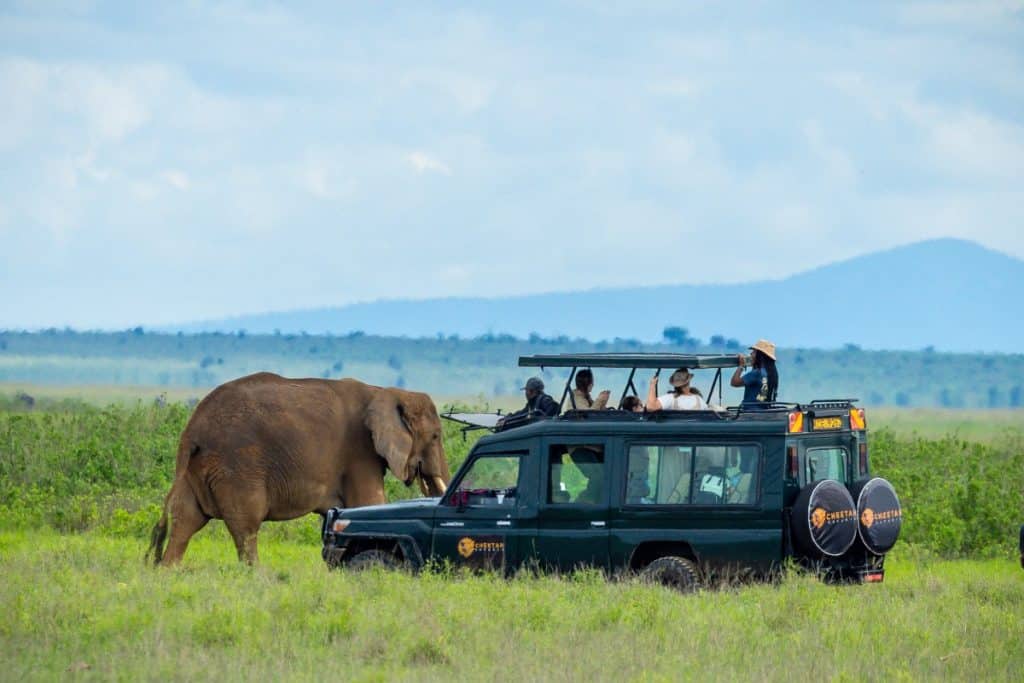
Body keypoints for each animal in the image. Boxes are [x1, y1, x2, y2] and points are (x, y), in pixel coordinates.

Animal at [146, 372, 449, 565]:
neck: (384, 392)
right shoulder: (359, 452)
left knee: (186, 520)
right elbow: (368, 502)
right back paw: (258, 578)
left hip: (197, 467)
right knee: (245, 527)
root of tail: (192, 430)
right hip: (236, 467)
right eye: (436, 436)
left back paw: (167, 573)